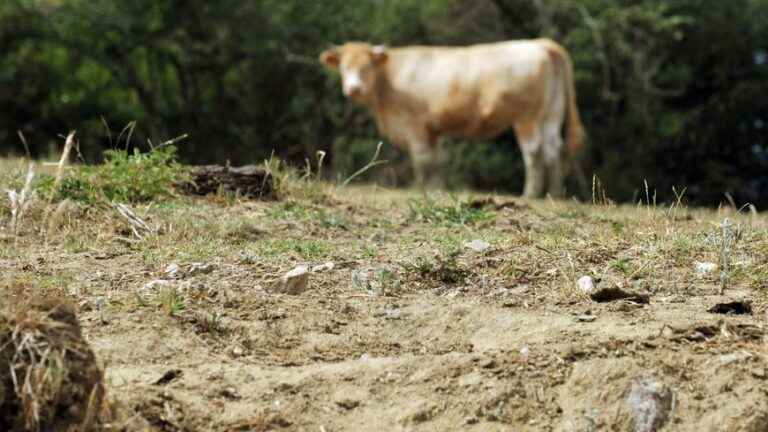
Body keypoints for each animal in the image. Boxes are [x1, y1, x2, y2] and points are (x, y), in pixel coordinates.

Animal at [320, 38, 584, 197]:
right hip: (551, 114)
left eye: (366, 67)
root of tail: (540, 43)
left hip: (525, 118)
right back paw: (553, 194)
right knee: (552, 149)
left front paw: (421, 190)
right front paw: (436, 189)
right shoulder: (433, 130)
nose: (353, 88)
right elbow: (436, 161)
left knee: (534, 152)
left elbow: (422, 160)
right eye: (343, 68)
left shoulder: (414, 125)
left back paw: (529, 194)